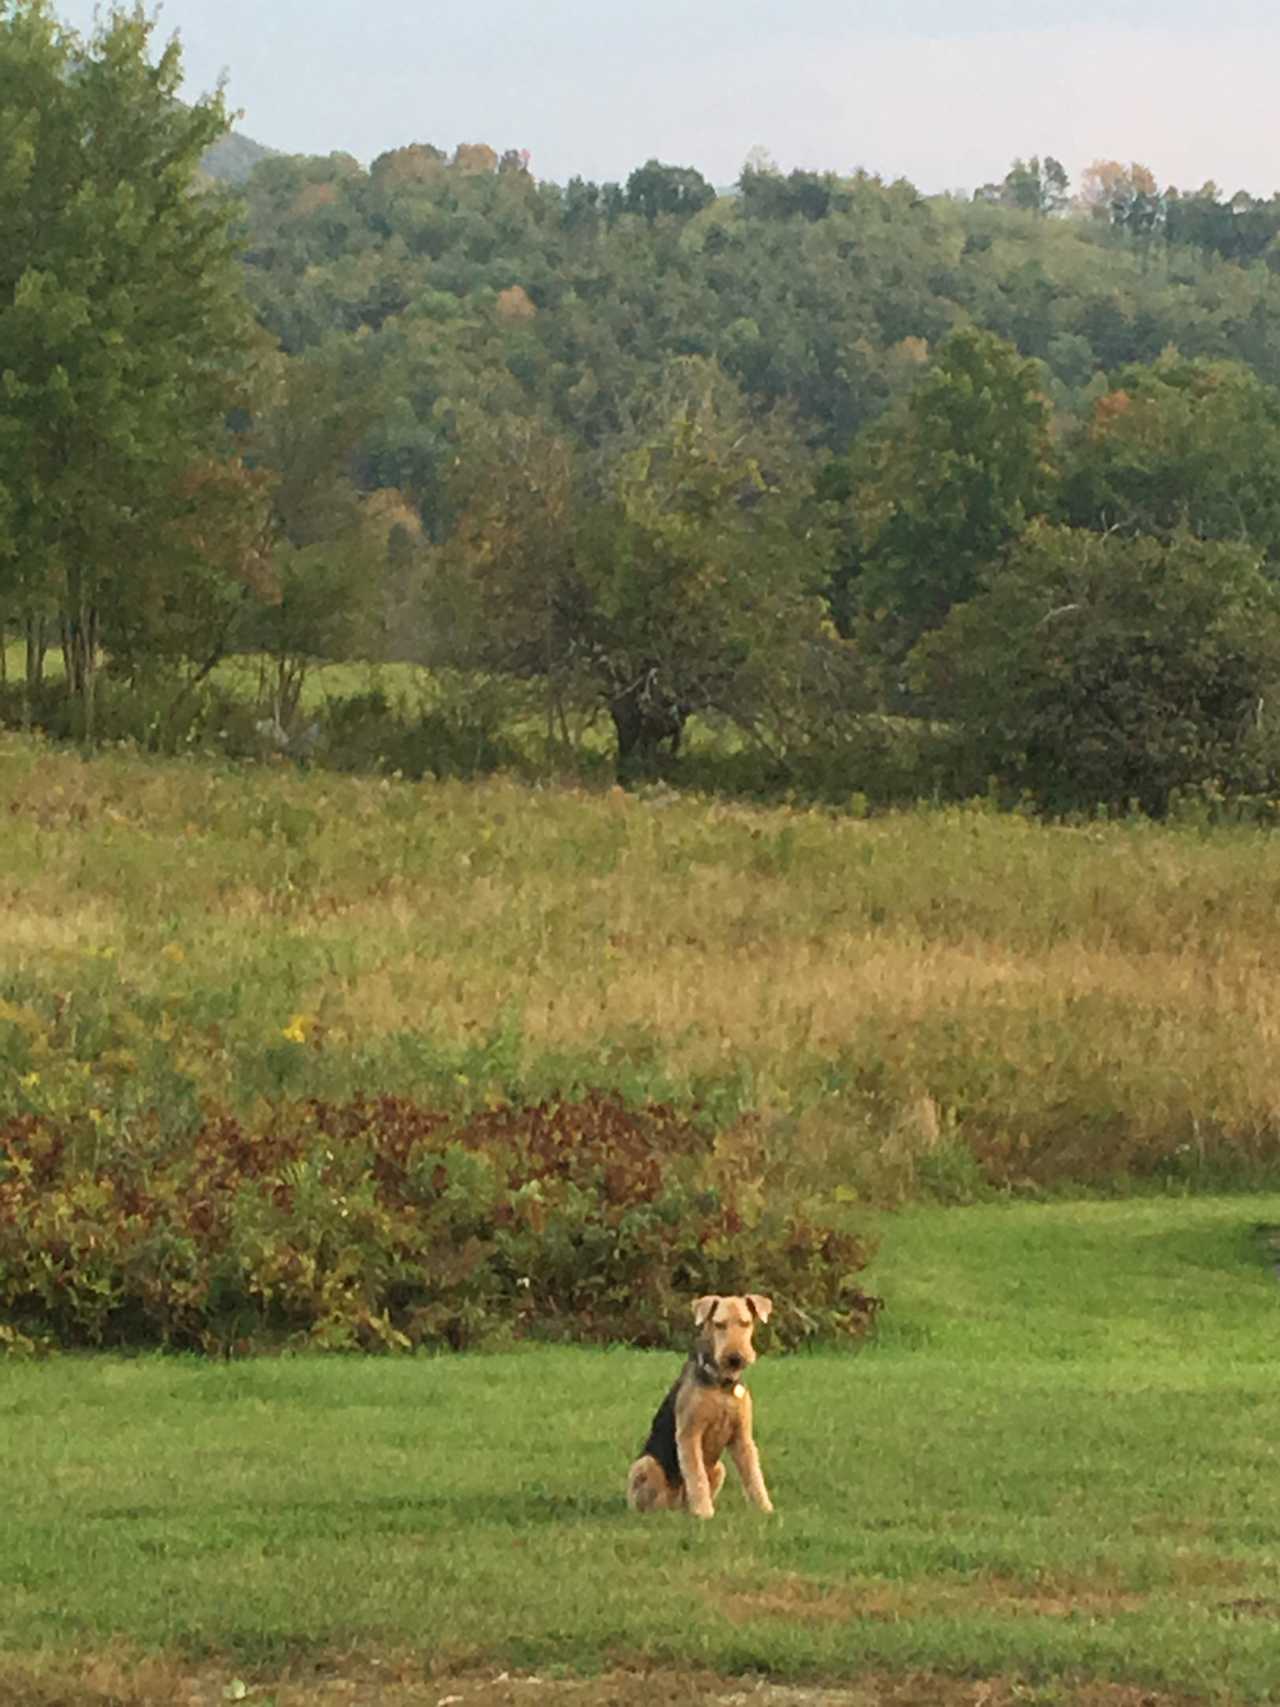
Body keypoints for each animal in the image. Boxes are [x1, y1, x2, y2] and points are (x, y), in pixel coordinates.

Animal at [628, 1290, 778, 1522]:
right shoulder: (689, 1433)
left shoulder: (742, 1435)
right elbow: (696, 1475)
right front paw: (705, 1513)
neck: (722, 1385)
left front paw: (765, 1509)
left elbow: (753, 1474)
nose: (735, 1358)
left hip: (719, 1468)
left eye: (745, 1323)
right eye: (719, 1324)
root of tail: (675, 1506)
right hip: (646, 1464)